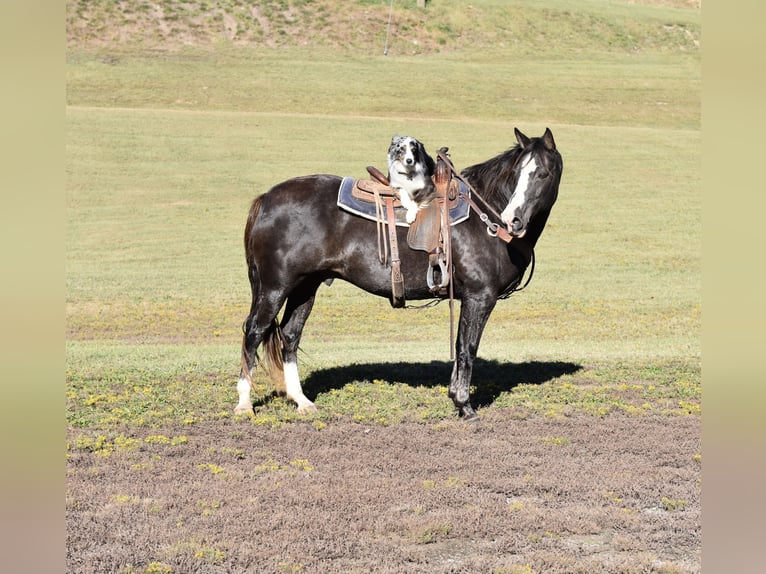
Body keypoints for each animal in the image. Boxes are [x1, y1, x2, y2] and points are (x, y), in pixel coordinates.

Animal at [236, 127, 563, 421]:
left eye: (543, 174)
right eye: (518, 172)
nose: (512, 219)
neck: (484, 218)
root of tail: (266, 199)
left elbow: (460, 345)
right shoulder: (478, 296)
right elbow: (467, 347)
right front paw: (464, 405)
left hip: (305, 287)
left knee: (290, 335)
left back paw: (301, 400)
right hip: (275, 288)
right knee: (254, 331)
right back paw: (244, 404)